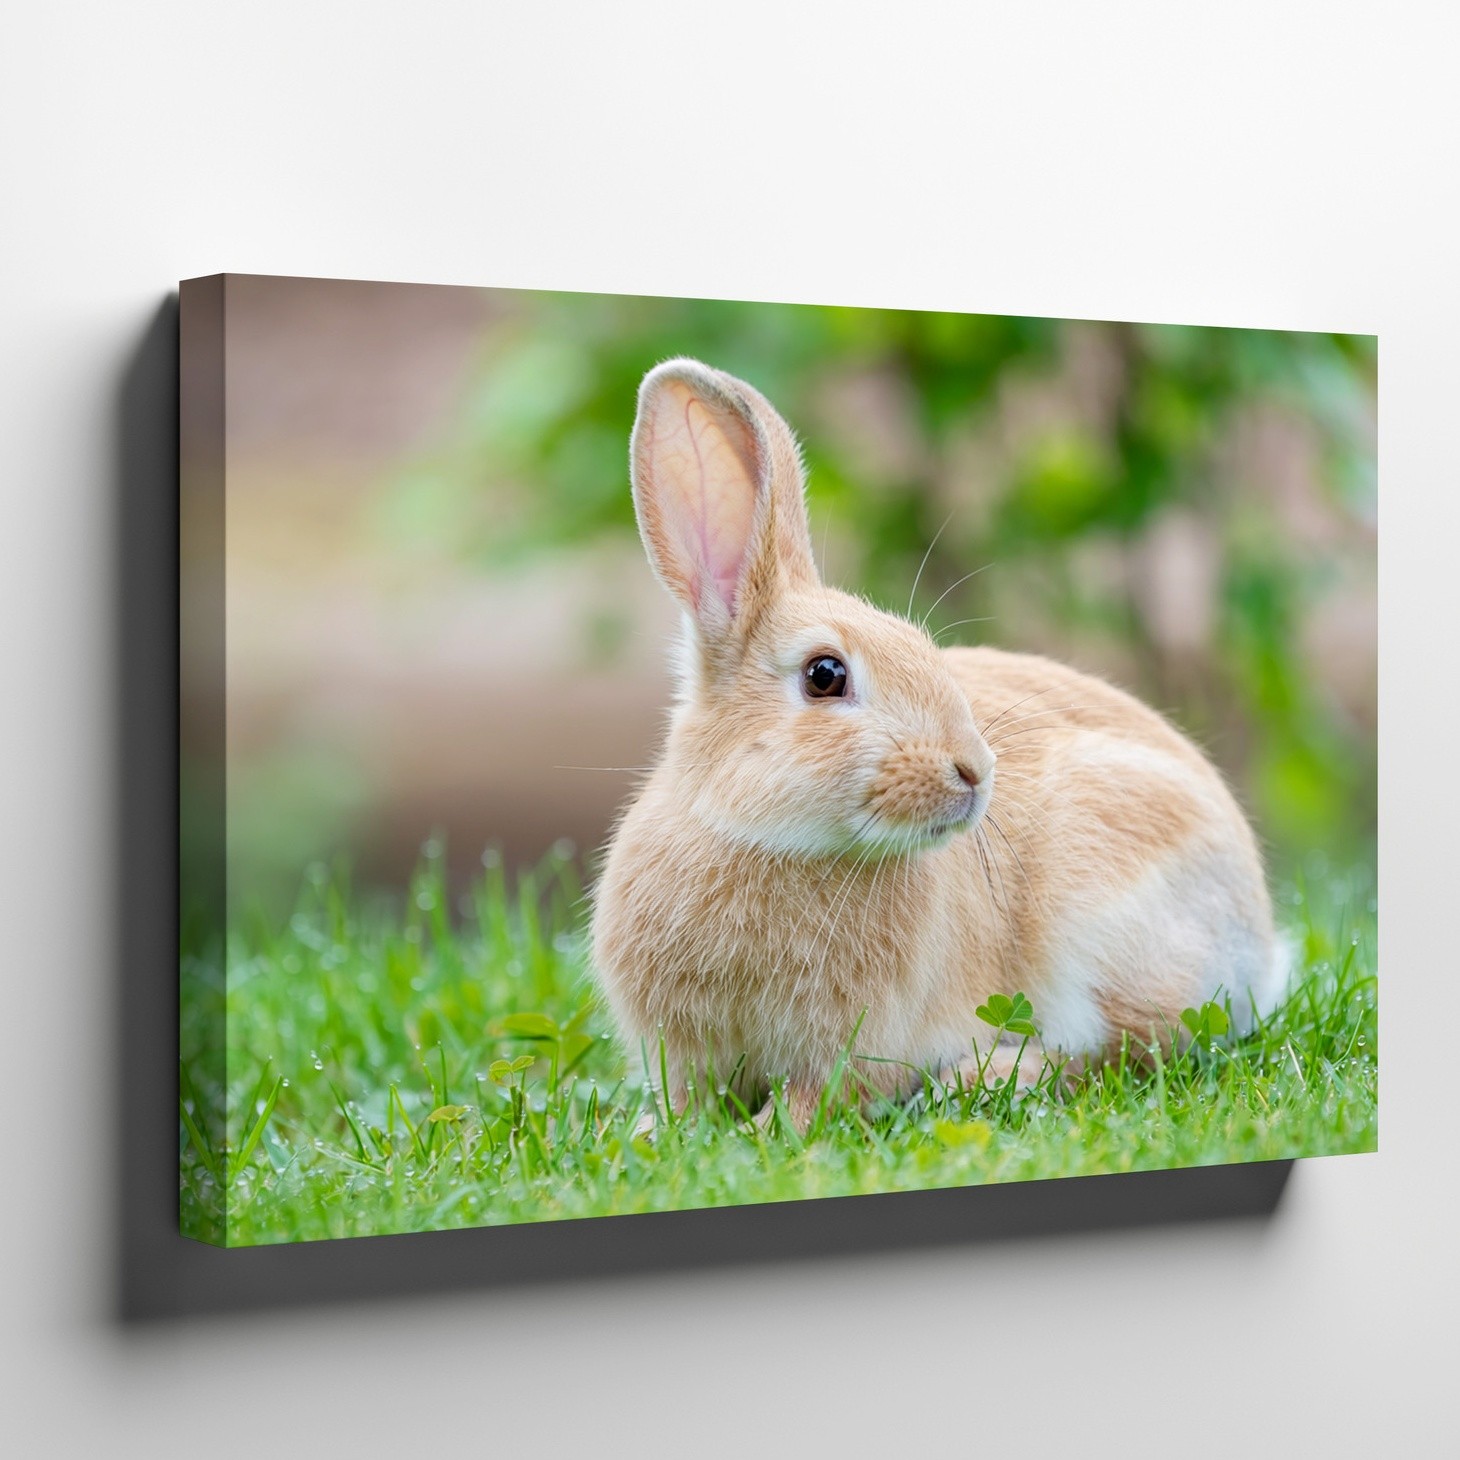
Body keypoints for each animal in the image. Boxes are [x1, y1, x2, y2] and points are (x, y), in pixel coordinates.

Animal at [591, 357, 1284, 1132]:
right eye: (824, 675)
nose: (976, 772)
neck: (762, 837)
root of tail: (1257, 945)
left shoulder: (856, 1051)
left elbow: (814, 1101)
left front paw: (762, 1133)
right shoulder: (686, 1057)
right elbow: (688, 1100)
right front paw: (655, 1134)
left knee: (1123, 1049)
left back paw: (987, 1079)